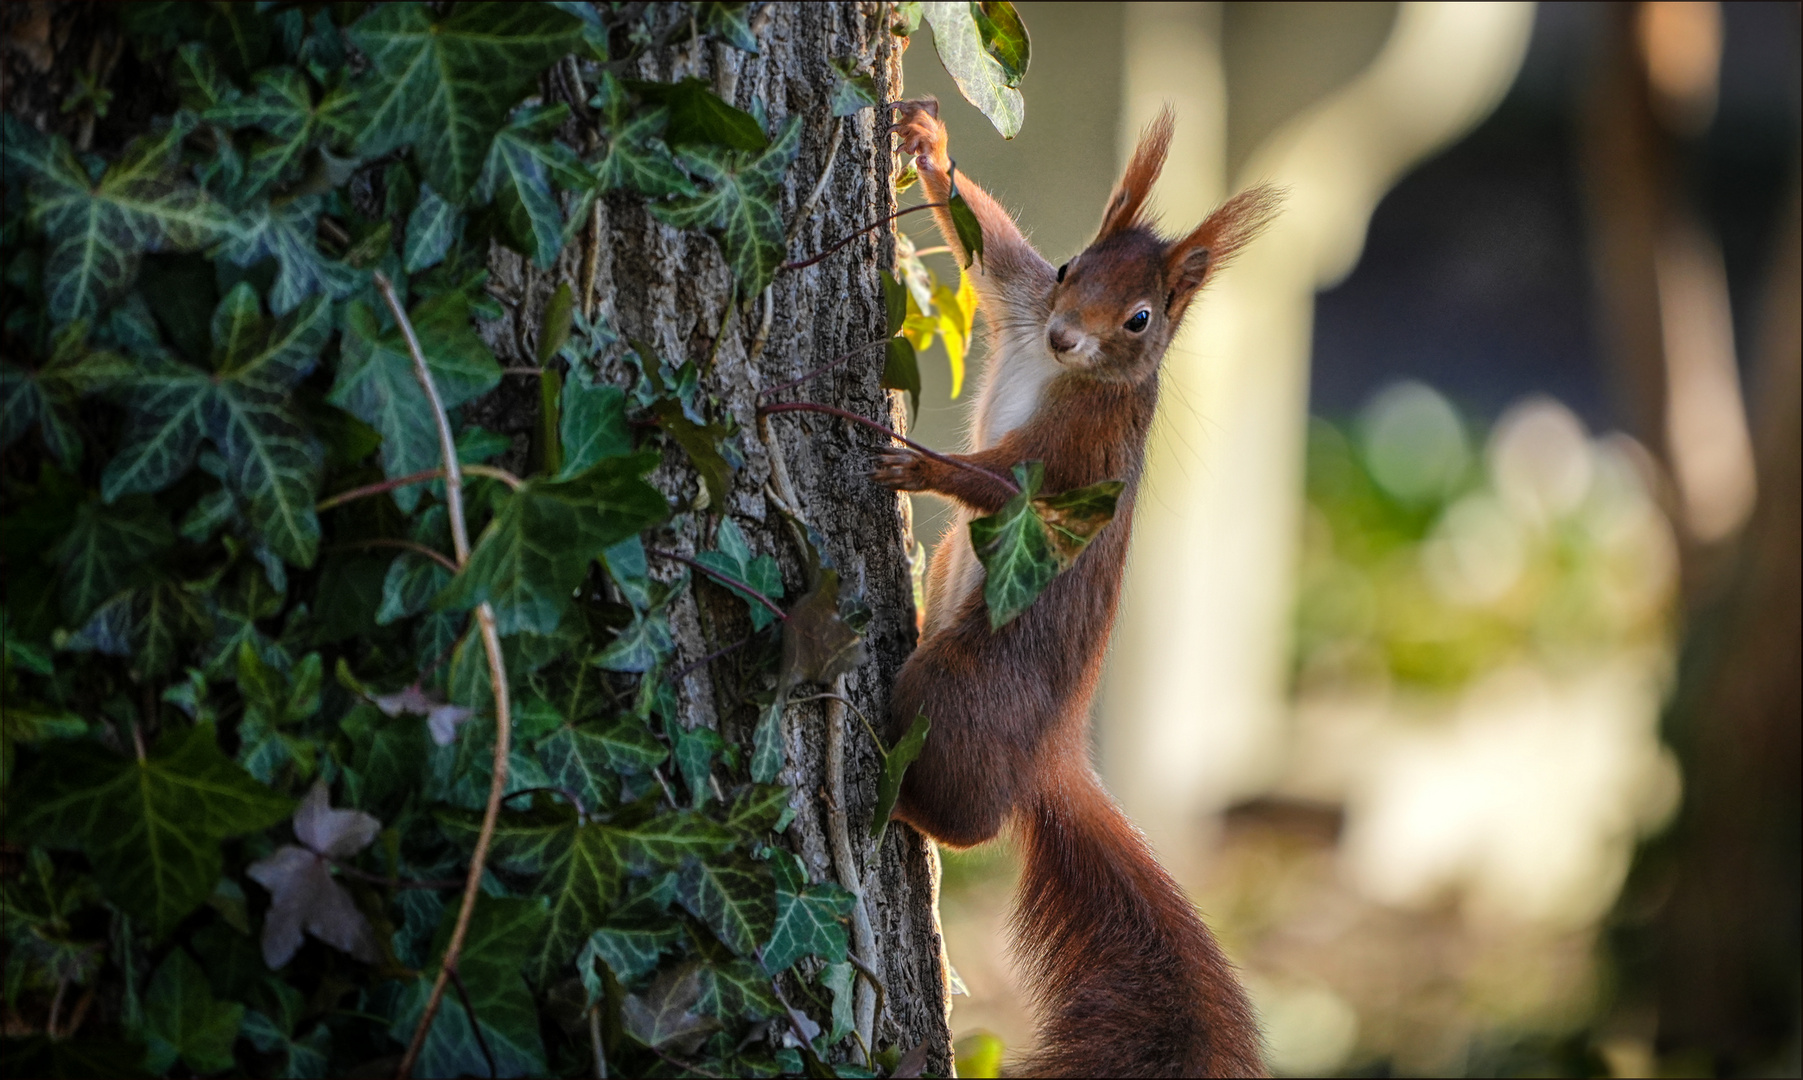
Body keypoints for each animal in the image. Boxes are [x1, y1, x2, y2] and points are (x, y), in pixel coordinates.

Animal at [876, 97, 1283, 1074]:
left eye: (1139, 319)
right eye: (1068, 268)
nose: (1065, 335)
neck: (1065, 369)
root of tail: (1052, 757)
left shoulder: (1080, 461)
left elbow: (1006, 490)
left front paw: (918, 463)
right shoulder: (1021, 302)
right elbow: (987, 247)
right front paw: (927, 143)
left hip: (963, 691)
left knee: (971, 820)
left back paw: (900, 798)